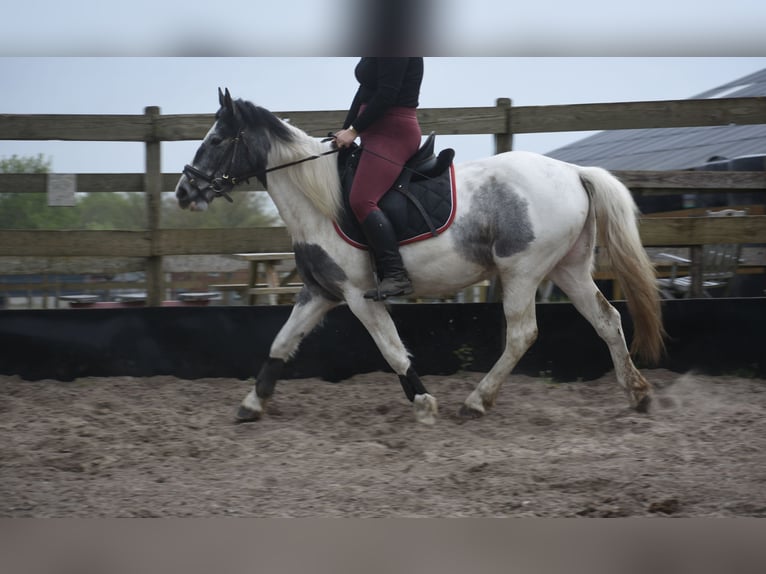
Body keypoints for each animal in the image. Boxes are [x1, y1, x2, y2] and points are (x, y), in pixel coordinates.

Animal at [175, 88, 664, 425]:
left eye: (216, 140)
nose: (183, 191)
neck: (318, 200)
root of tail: (574, 172)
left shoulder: (359, 295)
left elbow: (392, 351)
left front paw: (425, 402)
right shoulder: (319, 292)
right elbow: (280, 343)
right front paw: (251, 403)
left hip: (522, 271)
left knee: (523, 334)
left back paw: (476, 401)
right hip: (568, 268)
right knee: (607, 320)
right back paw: (637, 393)